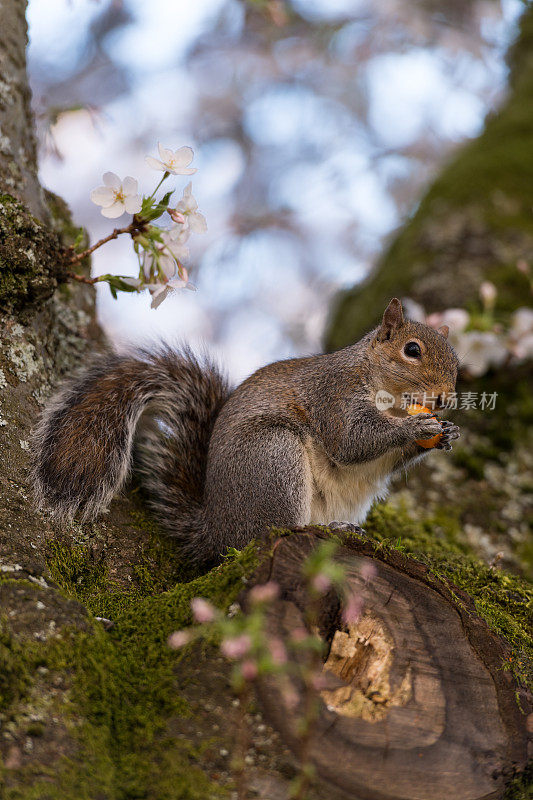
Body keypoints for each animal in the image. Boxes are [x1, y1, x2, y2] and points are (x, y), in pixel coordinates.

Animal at [32, 296, 458, 564]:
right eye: (412, 350)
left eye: (456, 361)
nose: (445, 398)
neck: (389, 395)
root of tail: (215, 529)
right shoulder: (334, 397)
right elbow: (352, 441)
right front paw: (414, 426)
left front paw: (446, 433)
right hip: (272, 456)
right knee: (271, 531)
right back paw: (326, 528)